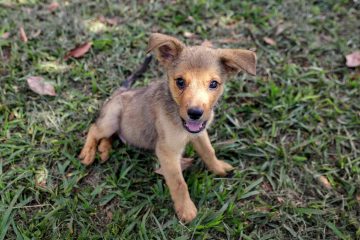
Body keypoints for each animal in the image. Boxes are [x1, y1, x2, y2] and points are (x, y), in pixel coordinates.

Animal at [79, 32, 256, 222]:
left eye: (214, 84)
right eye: (180, 81)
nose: (195, 113)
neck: (179, 120)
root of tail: (119, 93)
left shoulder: (199, 133)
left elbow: (209, 152)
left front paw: (218, 168)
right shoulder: (167, 151)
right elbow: (179, 183)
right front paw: (186, 210)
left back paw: (104, 149)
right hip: (112, 118)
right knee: (95, 128)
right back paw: (88, 153)